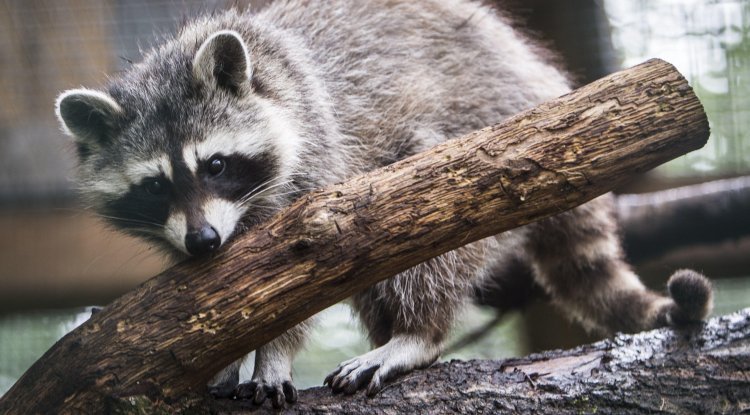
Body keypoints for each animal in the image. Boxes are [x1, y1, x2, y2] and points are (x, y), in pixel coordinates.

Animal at [55, 0, 713, 408]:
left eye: (215, 165)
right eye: (155, 186)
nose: (204, 242)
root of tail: (538, 83)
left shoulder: (316, 155)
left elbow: (295, 278)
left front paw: (273, 354)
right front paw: (216, 351)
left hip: (486, 140)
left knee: (427, 225)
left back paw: (417, 334)